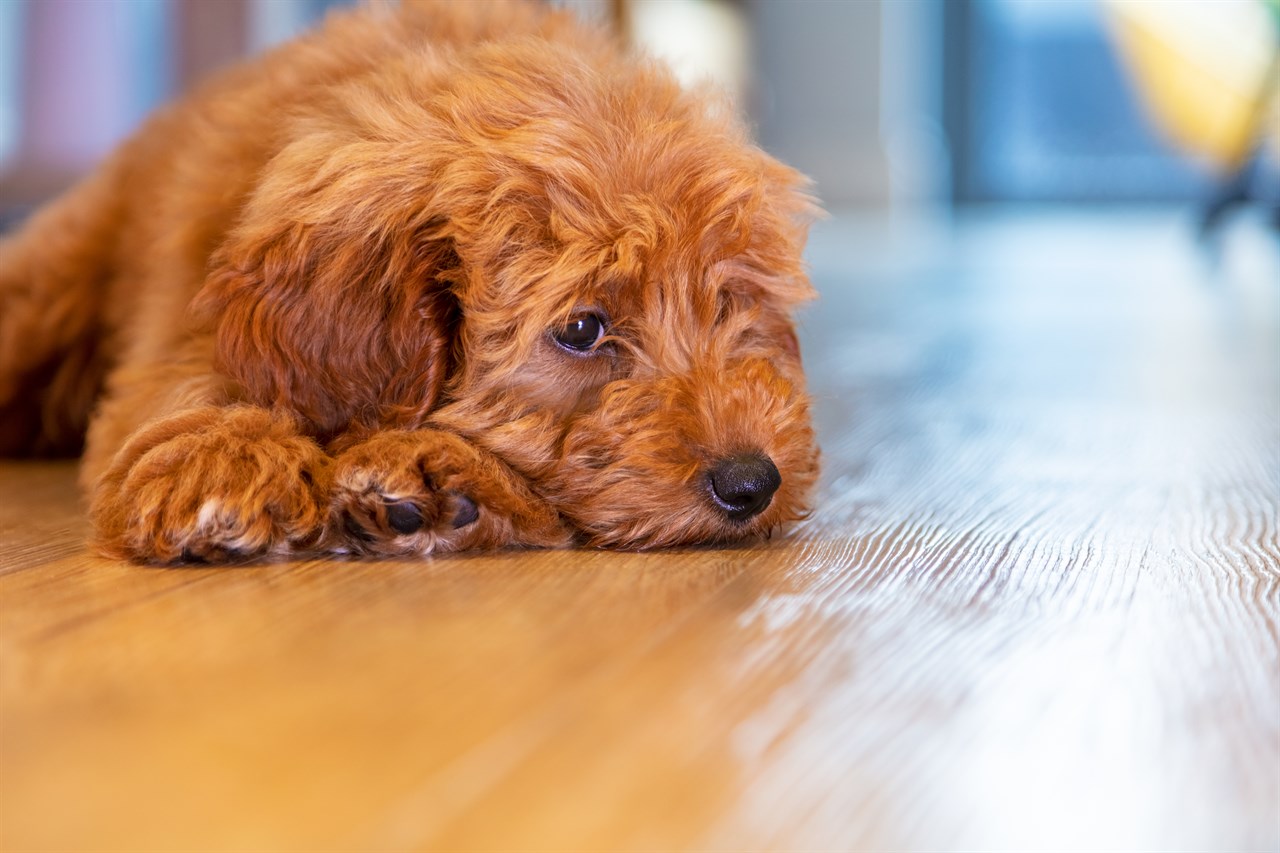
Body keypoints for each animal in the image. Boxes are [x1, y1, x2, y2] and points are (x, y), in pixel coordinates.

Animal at [0, 0, 819, 560]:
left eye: (729, 302)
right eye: (582, 329)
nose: (751, 482)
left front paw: (445, 481)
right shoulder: (188, 313)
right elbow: (192, 377)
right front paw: (221, 458)